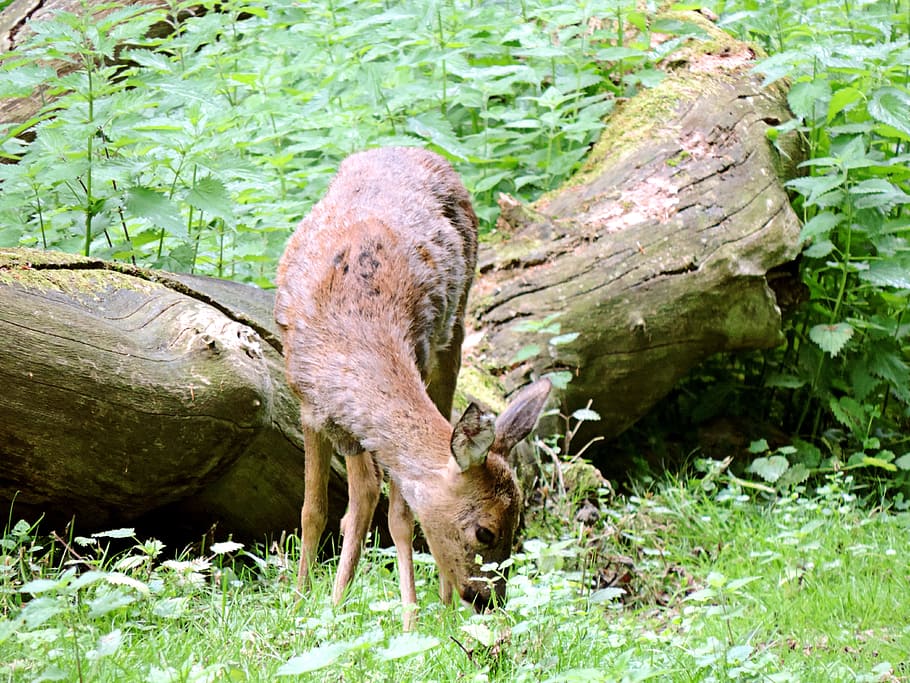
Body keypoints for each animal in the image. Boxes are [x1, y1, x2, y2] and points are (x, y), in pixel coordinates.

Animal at [274, 146, 552, 632]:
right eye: (485, 531)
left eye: (518, 525)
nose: (489, 600)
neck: (353, 332)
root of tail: (412, 149)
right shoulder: (310, 405)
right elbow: (313, 511)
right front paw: (304, 605)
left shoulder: (416, 360)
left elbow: (400, 515)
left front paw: (409, 620)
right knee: (362, 494)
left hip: (454, 328)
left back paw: (438, 602)